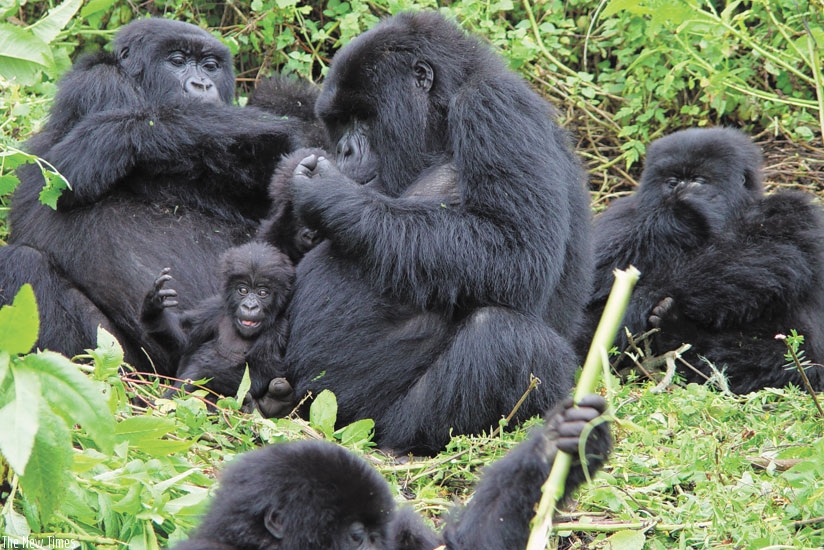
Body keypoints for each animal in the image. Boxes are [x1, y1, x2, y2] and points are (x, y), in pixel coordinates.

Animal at [0, 18, 318, 376]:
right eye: (176, 61)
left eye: (210, 66)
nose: (202, 85)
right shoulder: (97, 85)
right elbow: (74, 172)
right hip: (130, 363)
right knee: (22, 263)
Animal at [142, 244, 296, 416]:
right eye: (243, 290)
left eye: (262, 292)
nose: (250, 306)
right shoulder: (214, 308)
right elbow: (185, 336)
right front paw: (154, 309)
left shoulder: (279, 328)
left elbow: (262, 370)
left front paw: (195, 377)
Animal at [284, 11, 592, 458]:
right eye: (338, 123)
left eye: (362, 117)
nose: (343, 151)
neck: (443, 117)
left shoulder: (494, 106)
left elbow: (517, 253)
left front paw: (331, 194)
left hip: (372, 422)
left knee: (505, 336)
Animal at [584, 128, 824, 396]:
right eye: (672, 181)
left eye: (699, 180)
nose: (680, 189)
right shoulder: (621, 216)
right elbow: (589, 282)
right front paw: (680, 217)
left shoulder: (791, 211)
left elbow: (770, 252)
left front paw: (642, 298)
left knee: (795, 357)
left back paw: (676, 333)